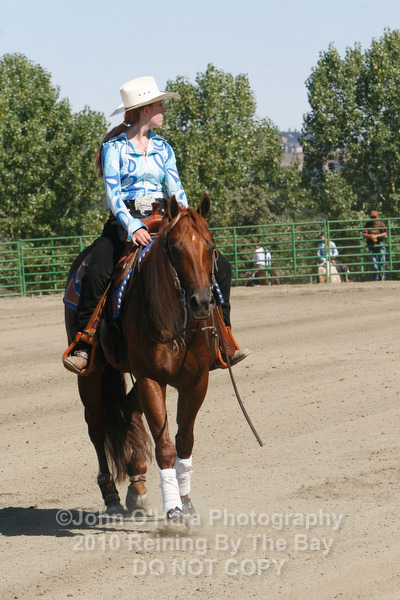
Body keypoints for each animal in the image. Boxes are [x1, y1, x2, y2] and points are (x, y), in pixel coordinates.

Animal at [64, 194, 218, 524]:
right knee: (97, 426)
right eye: (175, 249)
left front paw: (186, 501)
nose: (201, 302)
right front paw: (174, 509)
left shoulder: (197, 381)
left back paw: (137, 487)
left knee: (127, 408)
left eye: (211, 247)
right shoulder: (151, 379)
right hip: (92, 373)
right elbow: (165, 447)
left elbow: (184, 441)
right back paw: (111, 496)